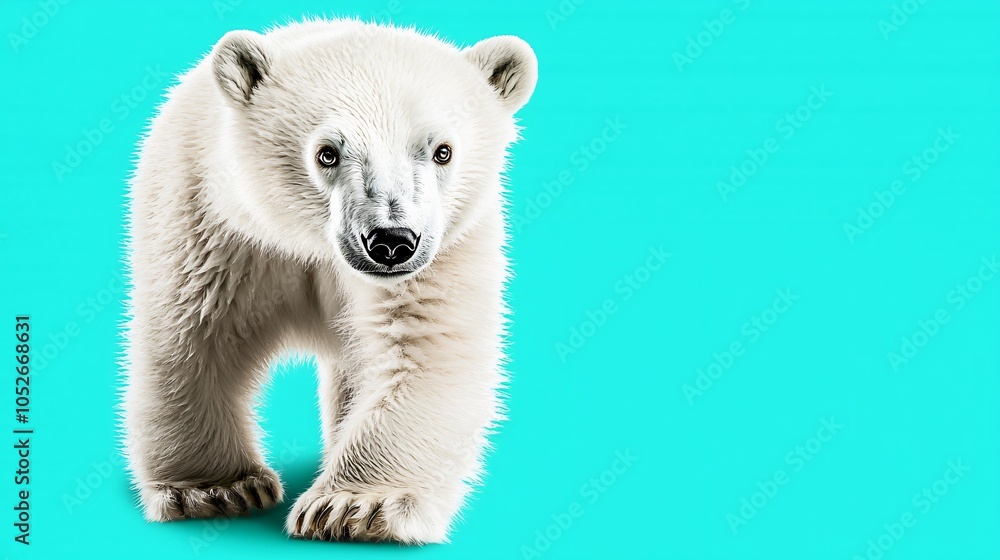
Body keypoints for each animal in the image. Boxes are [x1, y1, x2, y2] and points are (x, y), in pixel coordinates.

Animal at [120, 19, 537, 544]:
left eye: (442, 151)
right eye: (327, 153)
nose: (391, 241)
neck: (309, 243)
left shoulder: (446, 249)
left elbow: (423, 348)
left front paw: (353, 507)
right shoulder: (216, 225)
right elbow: (195, 336)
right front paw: (217, 489)